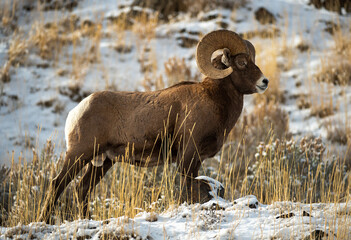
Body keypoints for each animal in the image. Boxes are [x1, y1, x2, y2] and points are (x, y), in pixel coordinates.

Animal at [38, 30, 268, 223]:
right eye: (241, 62)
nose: (264, 82)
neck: (213, 99)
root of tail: (77, 110)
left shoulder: (196, 158)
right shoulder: (187, 155)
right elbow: (188, 186)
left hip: (103, 162)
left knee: (82, 188)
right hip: (79, 154)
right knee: (57, 183)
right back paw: (44, 220)